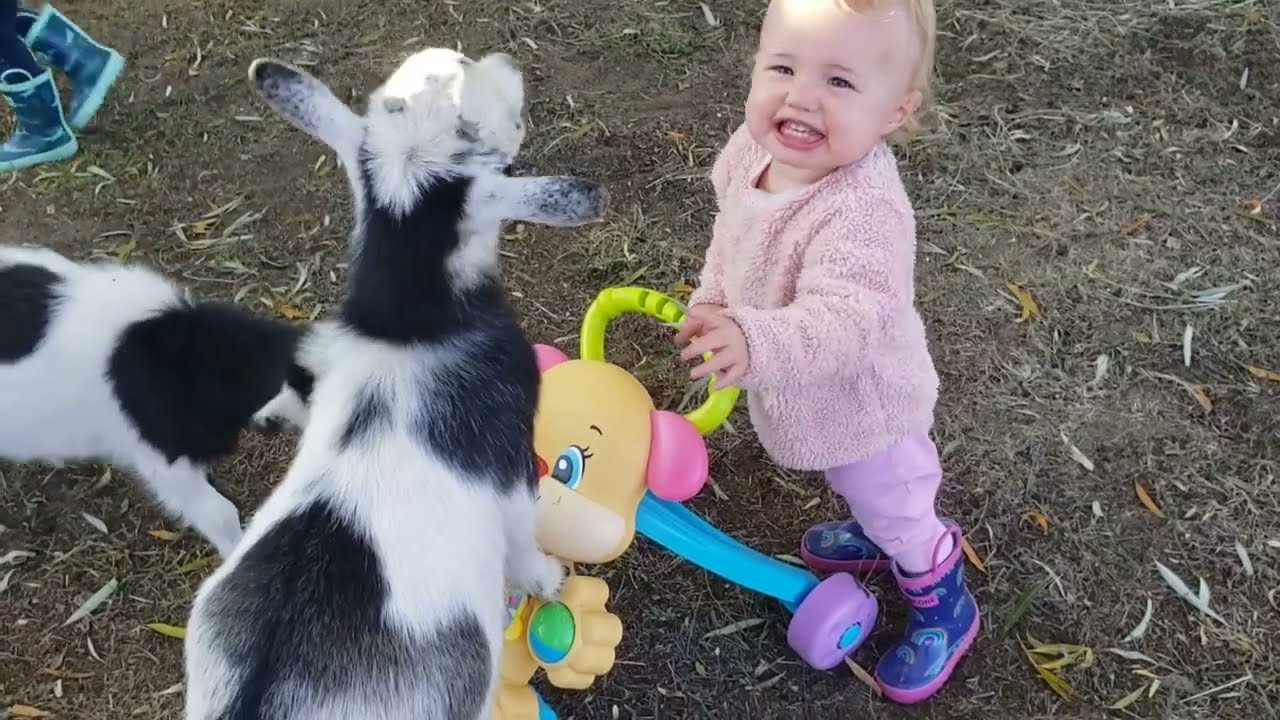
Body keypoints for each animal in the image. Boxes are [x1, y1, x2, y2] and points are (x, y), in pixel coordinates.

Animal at [181, 47, 608, 720]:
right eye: (497, 137)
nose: (504, 60)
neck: (406, 330)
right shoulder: (513, 472)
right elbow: (523, 542)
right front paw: (550, 579)